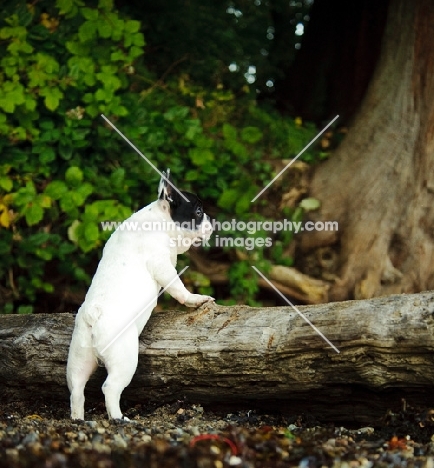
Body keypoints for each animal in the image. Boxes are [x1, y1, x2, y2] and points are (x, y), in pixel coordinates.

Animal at [67, 171, 214, 420]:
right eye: (198, 212)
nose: (211, 222)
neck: (160, 221)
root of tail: (93, 314)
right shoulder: (163, 265)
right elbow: (178, 288)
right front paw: (194, 300)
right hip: (124, 357)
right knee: (110, 388)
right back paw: (118, 418)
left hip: (78, 357)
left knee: (76, 390)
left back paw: (78, 419)